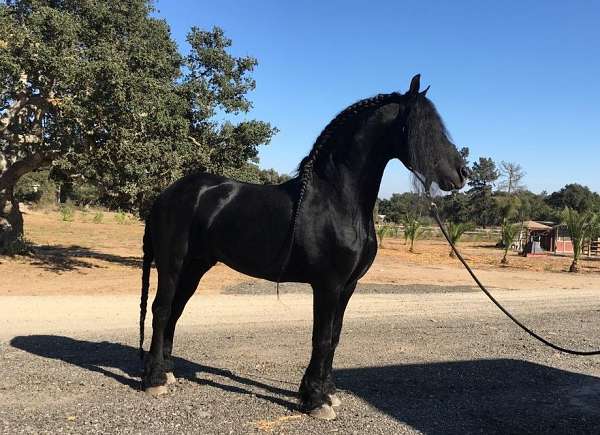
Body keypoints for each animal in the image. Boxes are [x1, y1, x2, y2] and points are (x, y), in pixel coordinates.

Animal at [139, 74, 468, 418]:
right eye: (425, 128)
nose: (462, 174)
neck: (337, 200)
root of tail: (167, 194)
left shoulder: (347, 287)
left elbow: (334, 337)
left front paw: (325, 392)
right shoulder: (328, 285)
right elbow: (321, 339)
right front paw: (316, 401)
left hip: (196, 266)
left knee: (175, 311)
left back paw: (168, 371)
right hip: (172, 264)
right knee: (162, 310)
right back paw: (155, 380)